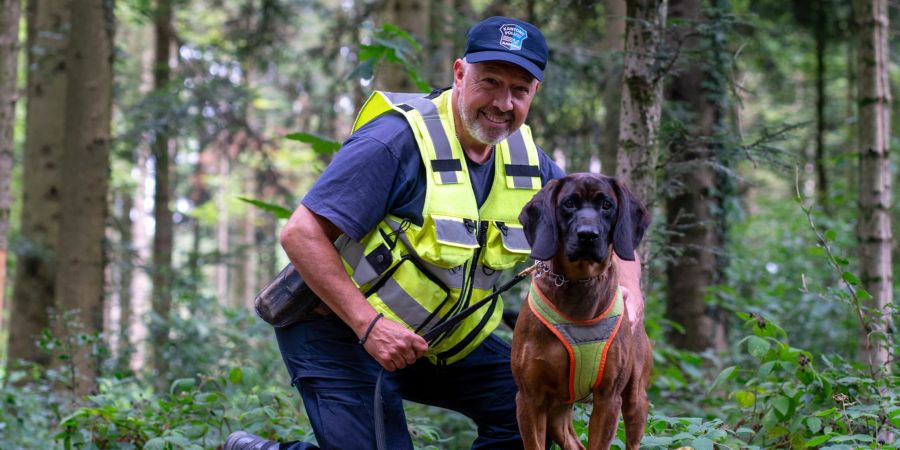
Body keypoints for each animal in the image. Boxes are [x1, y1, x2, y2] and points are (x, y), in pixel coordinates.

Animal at [510, 173, 652, 450]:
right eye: (569, 204)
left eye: (607, 205)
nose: (588, 235)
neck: (578, 283)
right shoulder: (530, 398)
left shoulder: (608, 398)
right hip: (557, 409)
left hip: (635, 401)